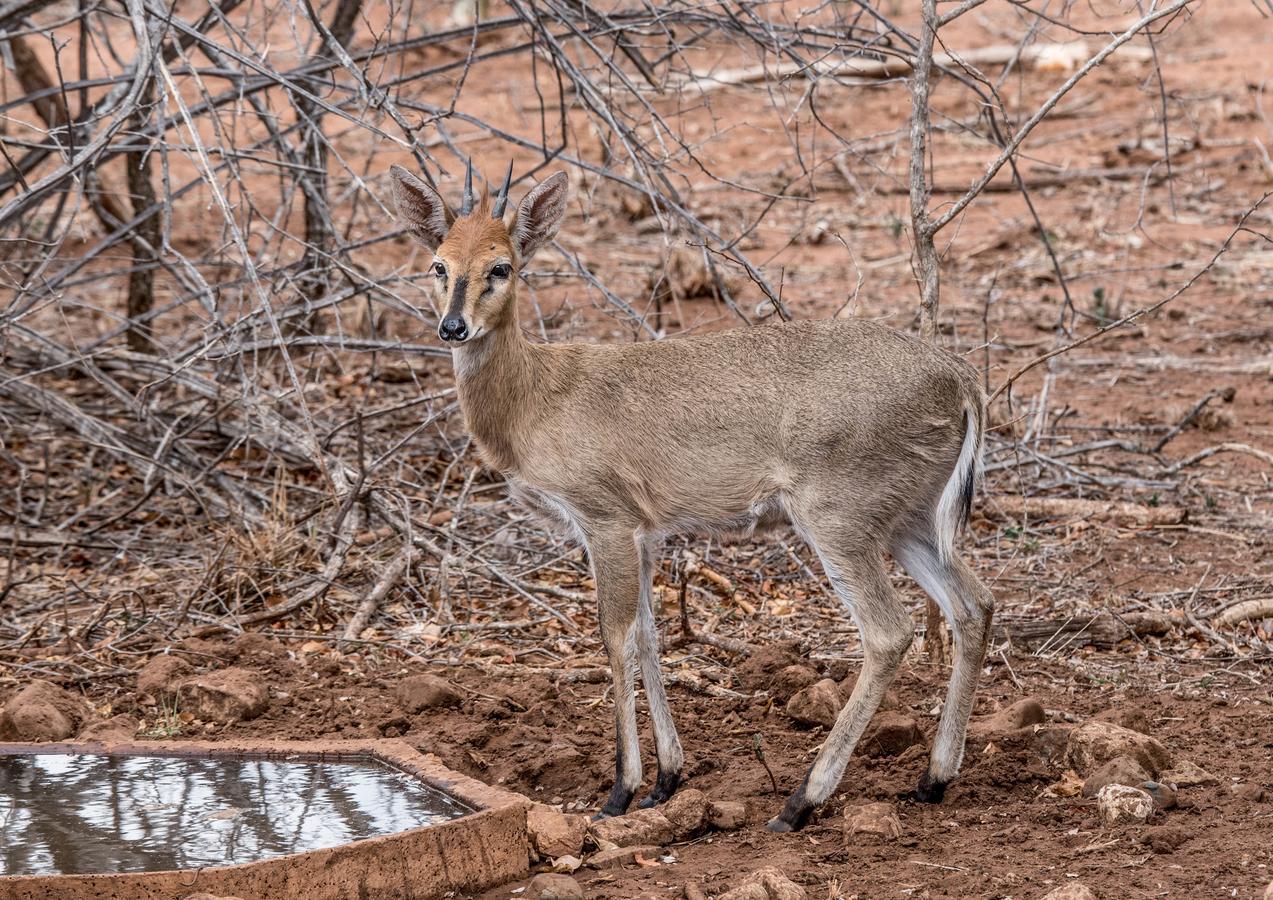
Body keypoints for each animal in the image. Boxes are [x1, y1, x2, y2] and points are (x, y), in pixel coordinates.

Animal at [386, 161, 992, 829]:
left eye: (502, 266)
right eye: (438, 264)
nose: (453, 327)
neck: (536, 399)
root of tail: (960, 378)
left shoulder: (604, 520)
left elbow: (616, 635)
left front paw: (620, 791)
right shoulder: (646, 533)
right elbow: (650, 635)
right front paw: (666, 780)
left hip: (838, 517)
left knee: (889, 631)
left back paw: (800, 802)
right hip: (909, 519)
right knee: (974, 605)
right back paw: (933, 779)